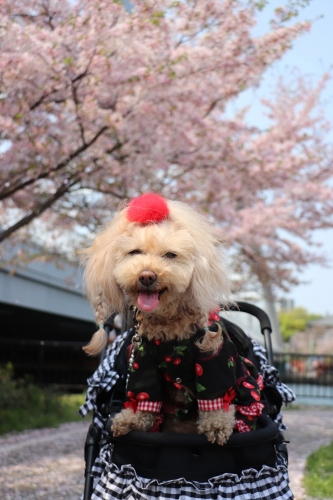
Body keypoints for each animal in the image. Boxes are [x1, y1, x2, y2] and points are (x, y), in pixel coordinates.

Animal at [80, 193, 262, 444]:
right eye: (134, 253)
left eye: (170, 255)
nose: (147, 275)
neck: (169, 323)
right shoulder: (142, 360)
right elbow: (145, 396)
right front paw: (131, 420)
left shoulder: (214, 358)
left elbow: (215, 397)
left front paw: (217, 426)